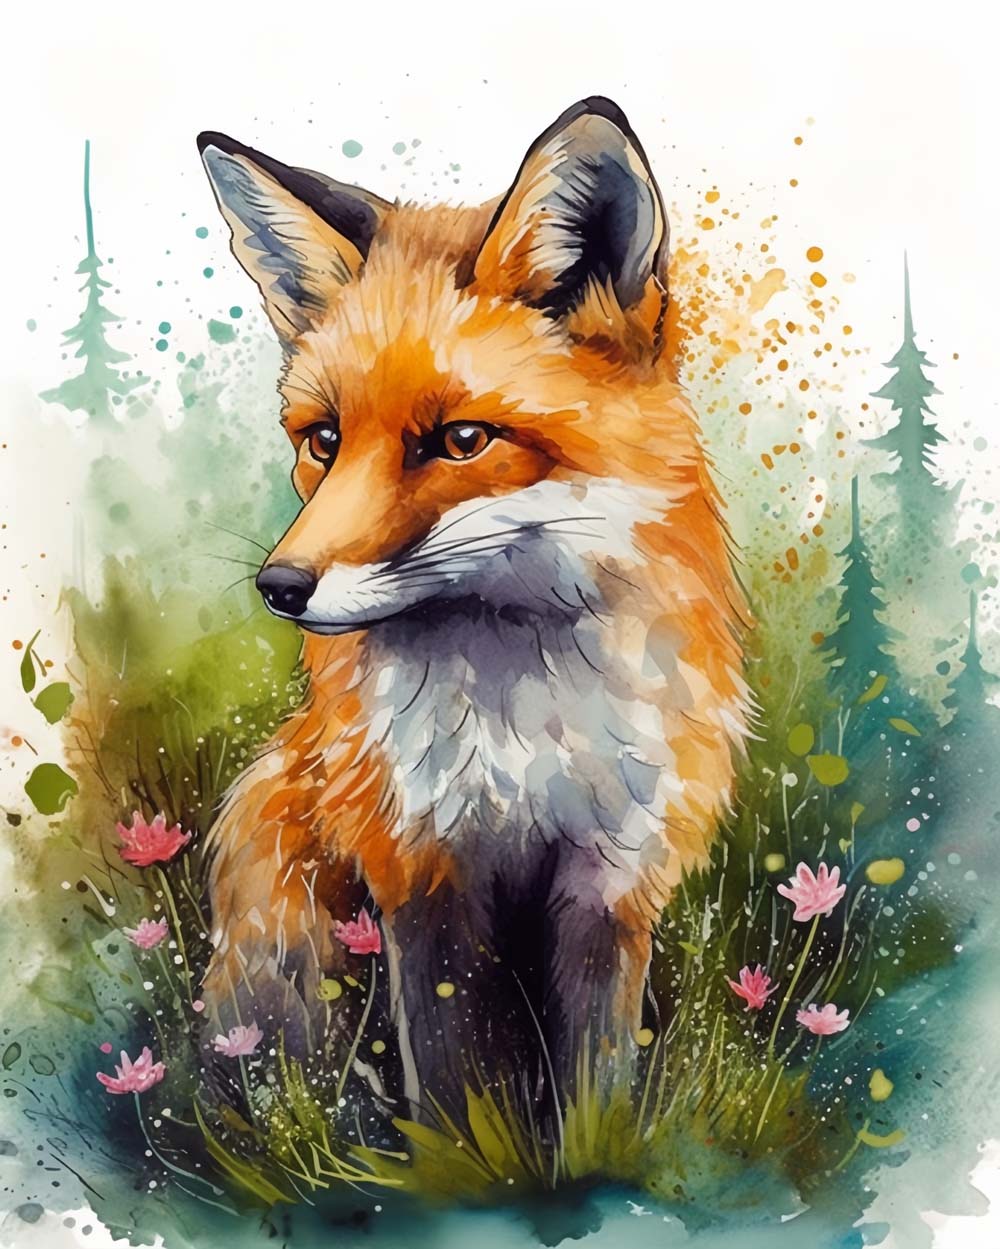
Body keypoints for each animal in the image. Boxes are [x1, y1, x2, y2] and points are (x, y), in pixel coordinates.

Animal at [196, 97, 750, 1112]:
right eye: (324, 440)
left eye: (461, 440)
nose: (280, 587)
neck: (524, 724)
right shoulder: (422, 872)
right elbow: (456, 1082)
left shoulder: (611, 879)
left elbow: (595, 1086)